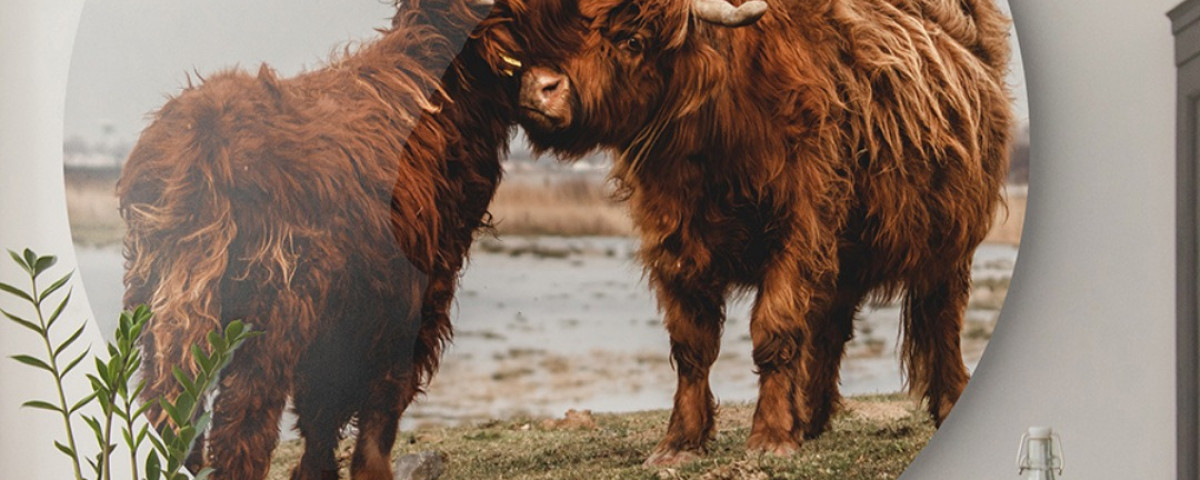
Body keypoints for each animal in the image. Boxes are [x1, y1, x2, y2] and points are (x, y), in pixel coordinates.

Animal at [117, 1, 525, 477]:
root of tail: (205, 147)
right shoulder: (406, 301)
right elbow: (372, 405)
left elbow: (322, 411)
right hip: (272, 306)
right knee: (242, 421)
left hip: (157, 298)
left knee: (170, 404)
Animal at [496, 0, 1012, 468]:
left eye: (632, 40)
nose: (540, 87)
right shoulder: (675, 240)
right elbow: (692, 344)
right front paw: (680, 442)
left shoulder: (799, 228)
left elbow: (774, 329)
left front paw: (771, 436)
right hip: (845, 254)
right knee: (832, 324)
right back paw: (811, 416)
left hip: (949, 240)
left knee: (941, 318)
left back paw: (947, 402)